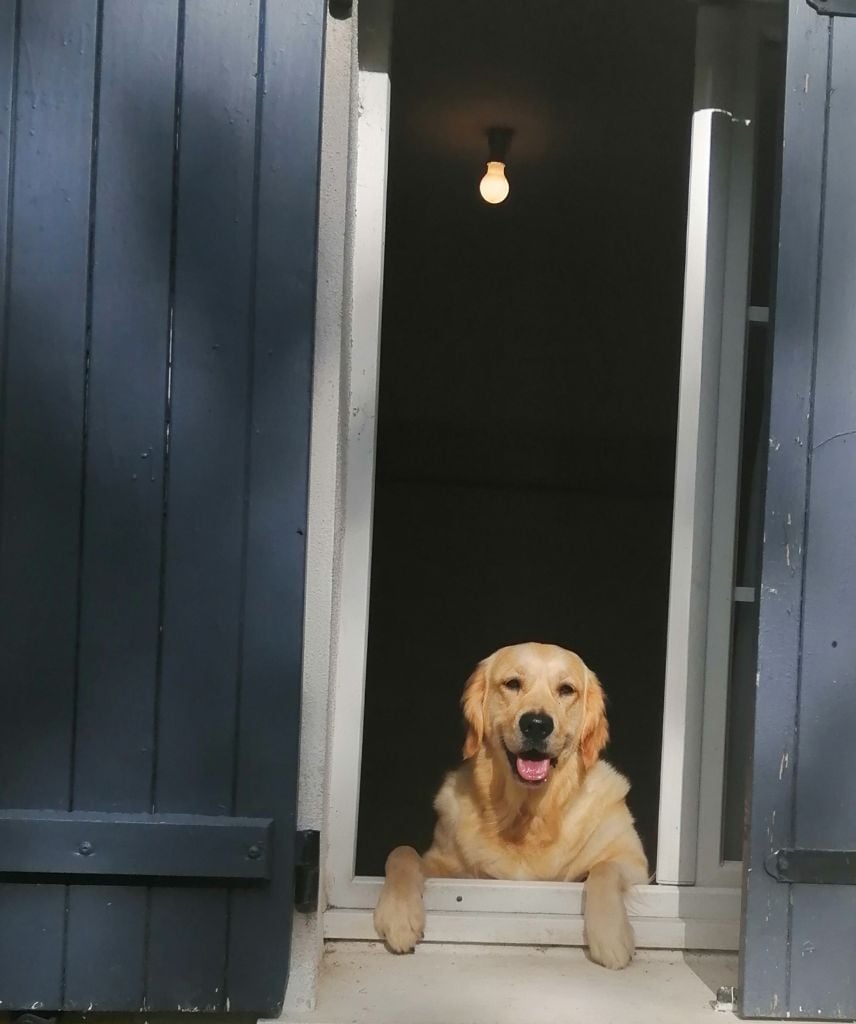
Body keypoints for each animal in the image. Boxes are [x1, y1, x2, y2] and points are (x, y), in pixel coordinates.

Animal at [374, 638, 647, 966]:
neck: (527, 814)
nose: (537, 724)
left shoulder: (633, 861)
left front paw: (610, 934)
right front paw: (398, 915)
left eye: (566, 689)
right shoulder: (446, 865)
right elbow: (402, 853)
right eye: (513, 683)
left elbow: (604, 869)